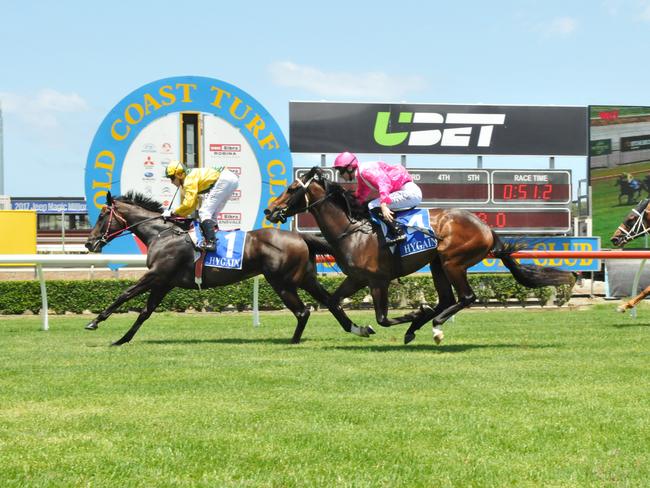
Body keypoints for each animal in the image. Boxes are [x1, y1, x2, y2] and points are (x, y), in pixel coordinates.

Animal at [85, 190, 374, 344]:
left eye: (102, 215)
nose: (89, 242)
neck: (162, 234)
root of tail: (300, 237)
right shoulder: (164, 282)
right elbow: (145, 312)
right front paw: (122, 339)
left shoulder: (156, 275)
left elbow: (124, 295)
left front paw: (94, 322)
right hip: (305, 277)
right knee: (330, 301)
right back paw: (358, 328)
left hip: (281, 281)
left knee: (303, 311)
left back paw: (293, 341)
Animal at [264, 166, 572, 346]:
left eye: (292, 189)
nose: (270, 210)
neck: (352, 231)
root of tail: (486, 227)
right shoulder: (356, 279)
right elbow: (332, 302)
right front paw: (360, 329)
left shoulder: (378, 280)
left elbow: (382, 318)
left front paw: (414, 312)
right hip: (437, 264)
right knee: (447, 299)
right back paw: (419, 326)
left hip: (452, 261)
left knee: (466, 297)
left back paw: (433, 325)